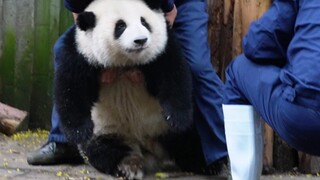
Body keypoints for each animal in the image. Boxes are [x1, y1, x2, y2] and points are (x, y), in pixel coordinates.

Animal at [54, 0, 211, 178]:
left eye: (144, 22)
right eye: (120, 26)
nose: (141, 40)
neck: (126, 63)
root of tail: (150, 149)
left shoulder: (162, 50)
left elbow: (174, 75)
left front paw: (177, 118)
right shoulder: (82, 53)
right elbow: (71, 88)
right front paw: (79, 131)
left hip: (163, 126)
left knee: (189, 140)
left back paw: (206, 164)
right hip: (108, 129)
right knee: (105, 149)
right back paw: (129, 166)